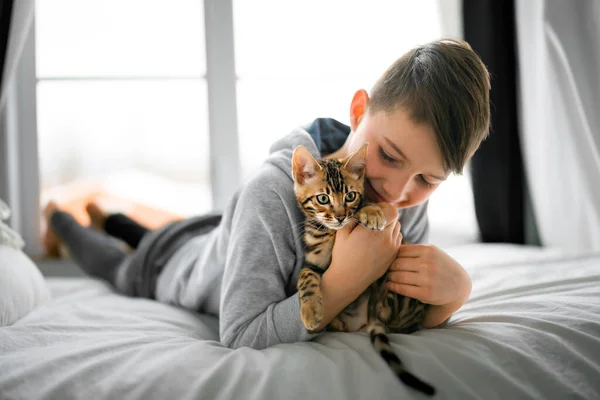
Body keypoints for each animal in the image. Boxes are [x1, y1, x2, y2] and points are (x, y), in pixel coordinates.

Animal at [292, 142, 434, 396]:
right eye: (323, 198)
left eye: (350, 195)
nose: (340, 217)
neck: (332, 233)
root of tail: (369, 319)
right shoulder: (314, 261)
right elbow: (305, 276)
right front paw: (310, 310)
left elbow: (366, 204)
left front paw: (371, 211)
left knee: (390, 310)